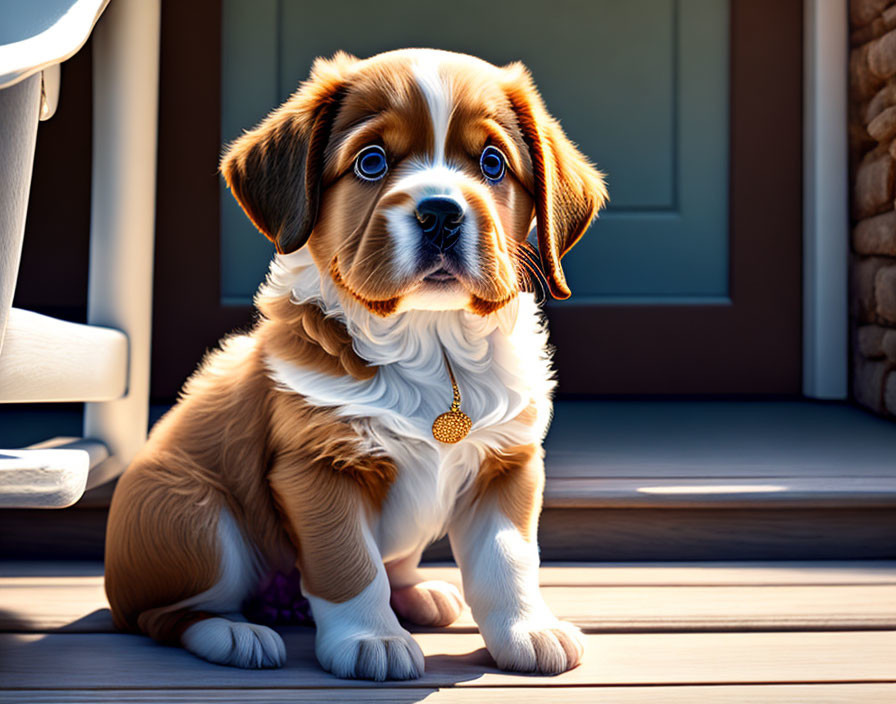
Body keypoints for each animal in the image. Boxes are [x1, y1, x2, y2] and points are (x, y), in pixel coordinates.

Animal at [105, 46, 608, 680]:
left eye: (493, 164)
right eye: (372, 162)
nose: (440, 213)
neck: (433, 344)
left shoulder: (507, 465)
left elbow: (508, 560)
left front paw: (527, 630)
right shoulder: (320, 470)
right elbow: (350, 565)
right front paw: (373, 640)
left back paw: (416, 594)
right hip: (195, 518)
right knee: (161, 616)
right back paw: (234, 634)